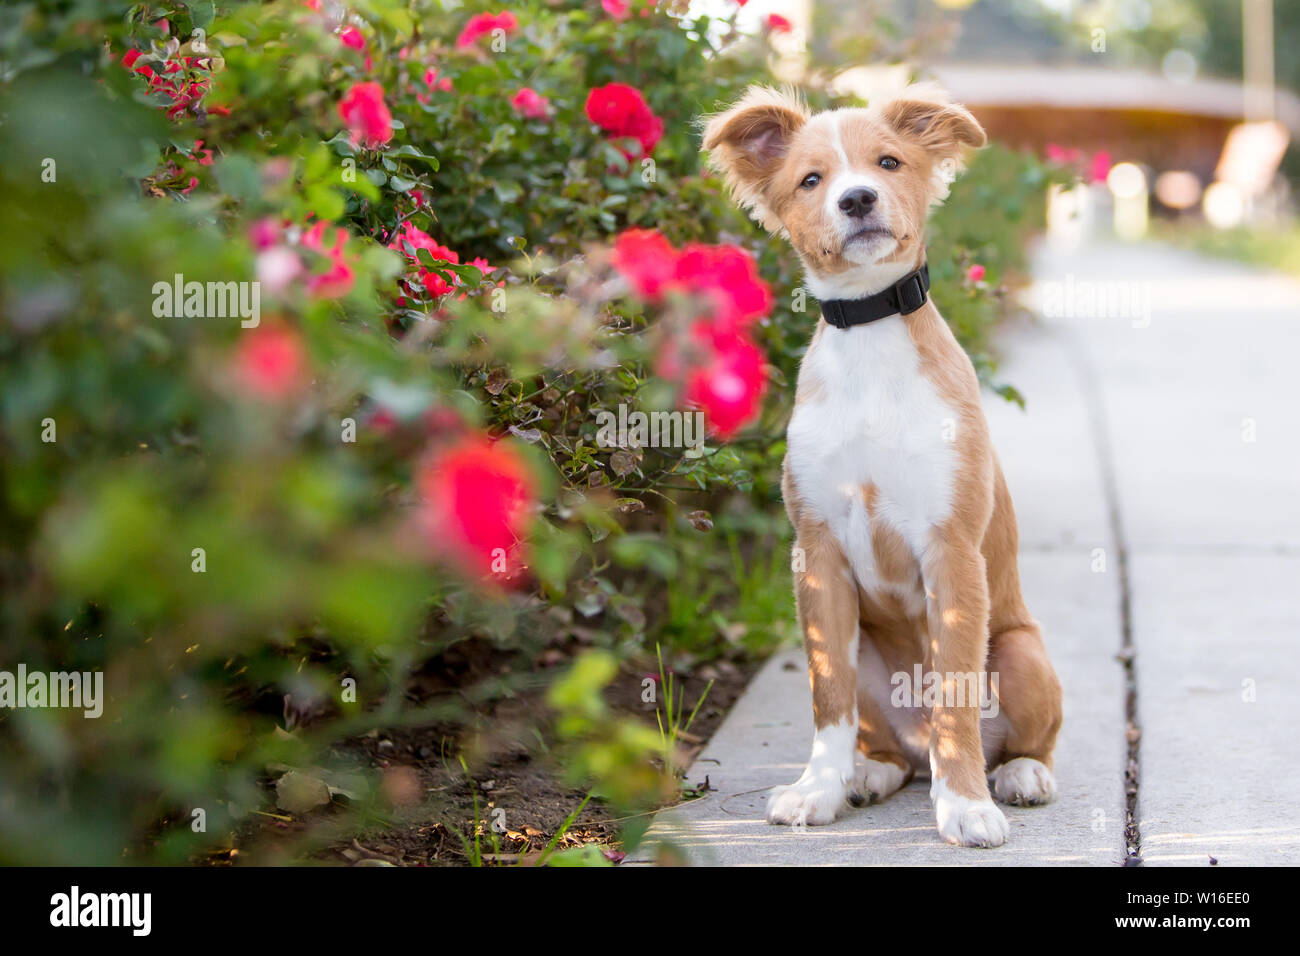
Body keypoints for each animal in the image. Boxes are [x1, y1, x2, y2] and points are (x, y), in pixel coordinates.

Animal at [707, 83, 1060, 842]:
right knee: (888, 743)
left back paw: (1020, 774)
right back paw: (869, 773)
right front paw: (817, 790)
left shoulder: (951, 551)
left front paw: (965, 807)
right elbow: (827, 698)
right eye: (811, 180)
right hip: (870, 655)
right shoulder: (817, 555)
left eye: (889, 162)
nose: (858, 199)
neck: (870, 338)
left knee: (1022, 737)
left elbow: (955, 697)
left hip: (1022, 652)